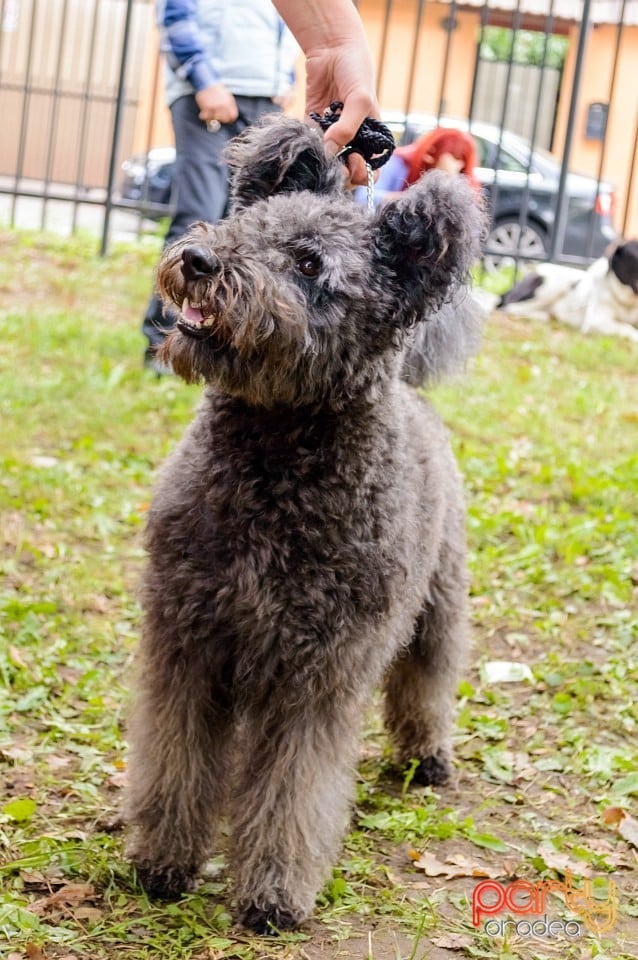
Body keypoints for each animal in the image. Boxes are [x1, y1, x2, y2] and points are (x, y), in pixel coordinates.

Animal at [124, 116, 484, 932]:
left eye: (310, 261)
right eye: (249, 224)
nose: (200, 259)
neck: (274, 466)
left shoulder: (316, 678)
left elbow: (293, 792)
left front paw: (272, 894)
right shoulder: (187, 647)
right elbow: (175, 763)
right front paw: (164, 862)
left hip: (439, 604)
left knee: (427, 679)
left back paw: (427, 757)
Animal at [500, 239, 638, 342]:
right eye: (635, 257)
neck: (629, 301)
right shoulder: (594, 321)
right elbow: (626, 326)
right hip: (552, 285)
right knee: (510, 307)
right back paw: (543, 315)